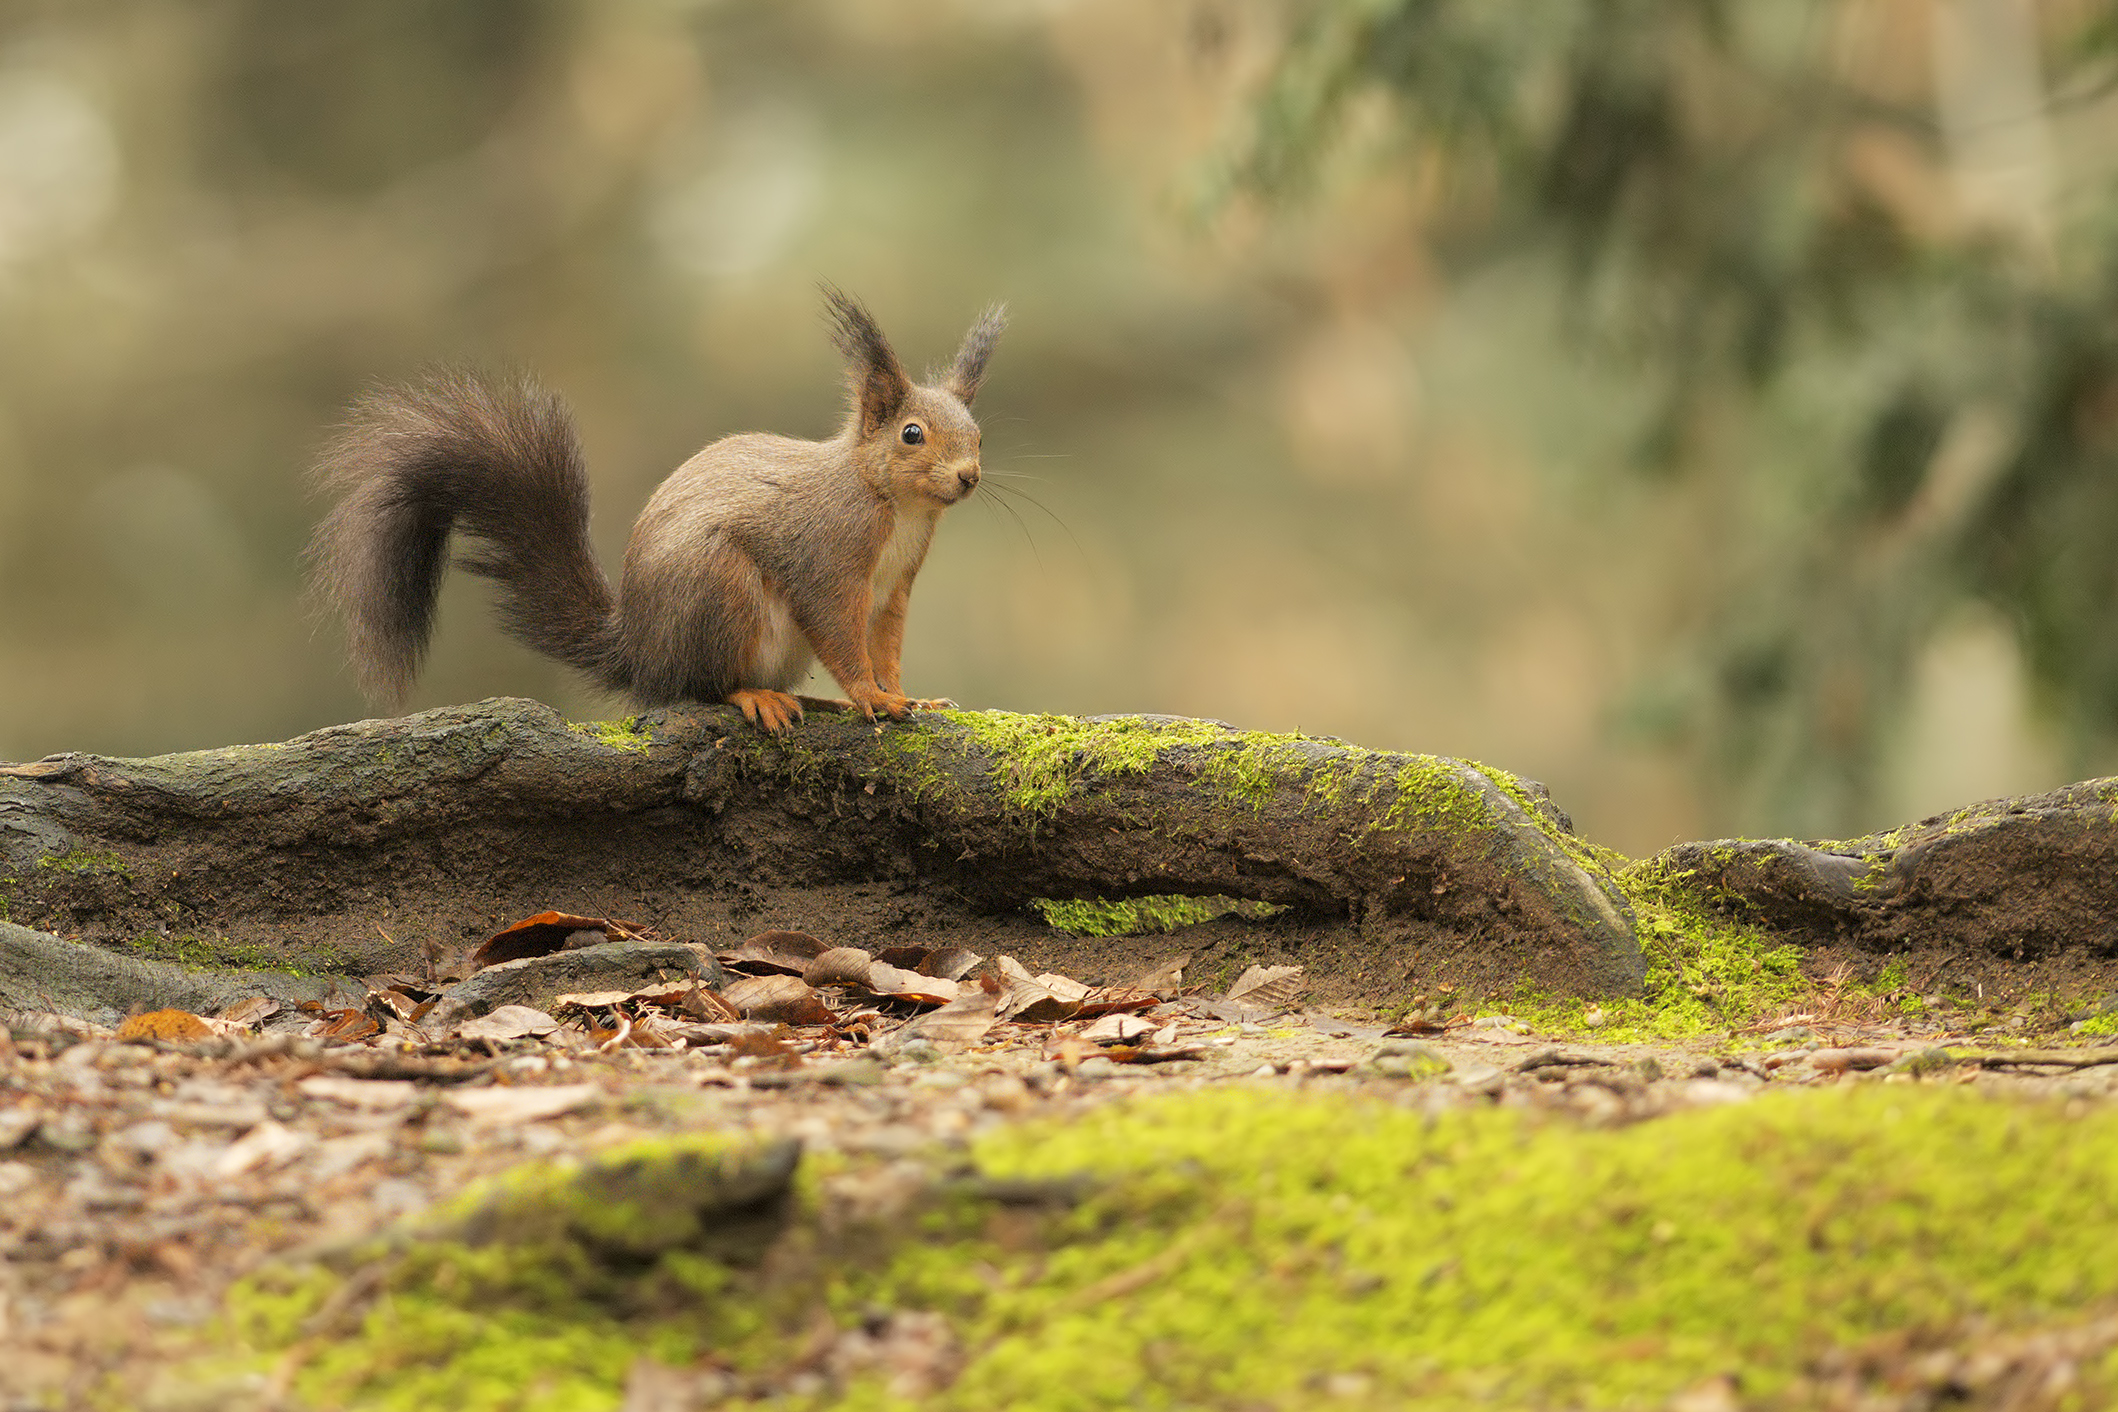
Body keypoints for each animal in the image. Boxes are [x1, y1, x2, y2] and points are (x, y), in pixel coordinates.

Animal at [307, 288, 1005, 733]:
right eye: (912, 435)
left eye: (978, 435)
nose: (969, 477)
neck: (893, 506)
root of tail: (641, 649)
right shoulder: (827, 561)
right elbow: (840, 633)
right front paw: (869, 697)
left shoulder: (894, 589)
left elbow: (885, 647)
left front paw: (906, 697)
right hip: (718, 589)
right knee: (703, 688)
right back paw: (758, 697)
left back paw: (812, 704)